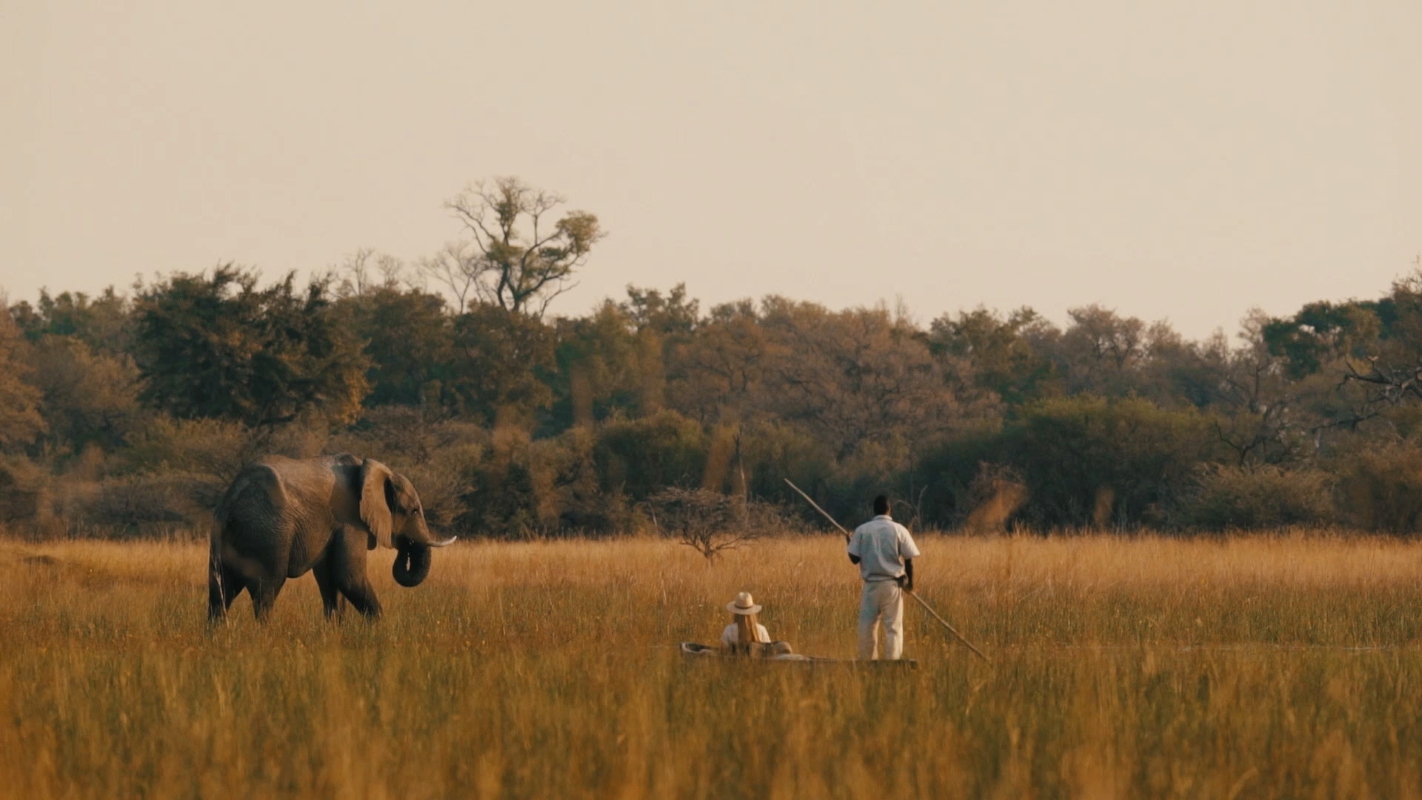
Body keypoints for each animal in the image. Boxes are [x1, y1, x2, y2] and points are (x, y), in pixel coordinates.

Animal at [207, 454, 455, 621]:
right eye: (412, 511)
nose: (406, 545)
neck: (368, 470)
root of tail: (230, 502)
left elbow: (330, 579)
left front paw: (335, 631)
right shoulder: (350, 521)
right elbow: (349, 577)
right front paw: (381, 628)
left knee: (220, 592)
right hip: (267, 534)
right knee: (266, 590)